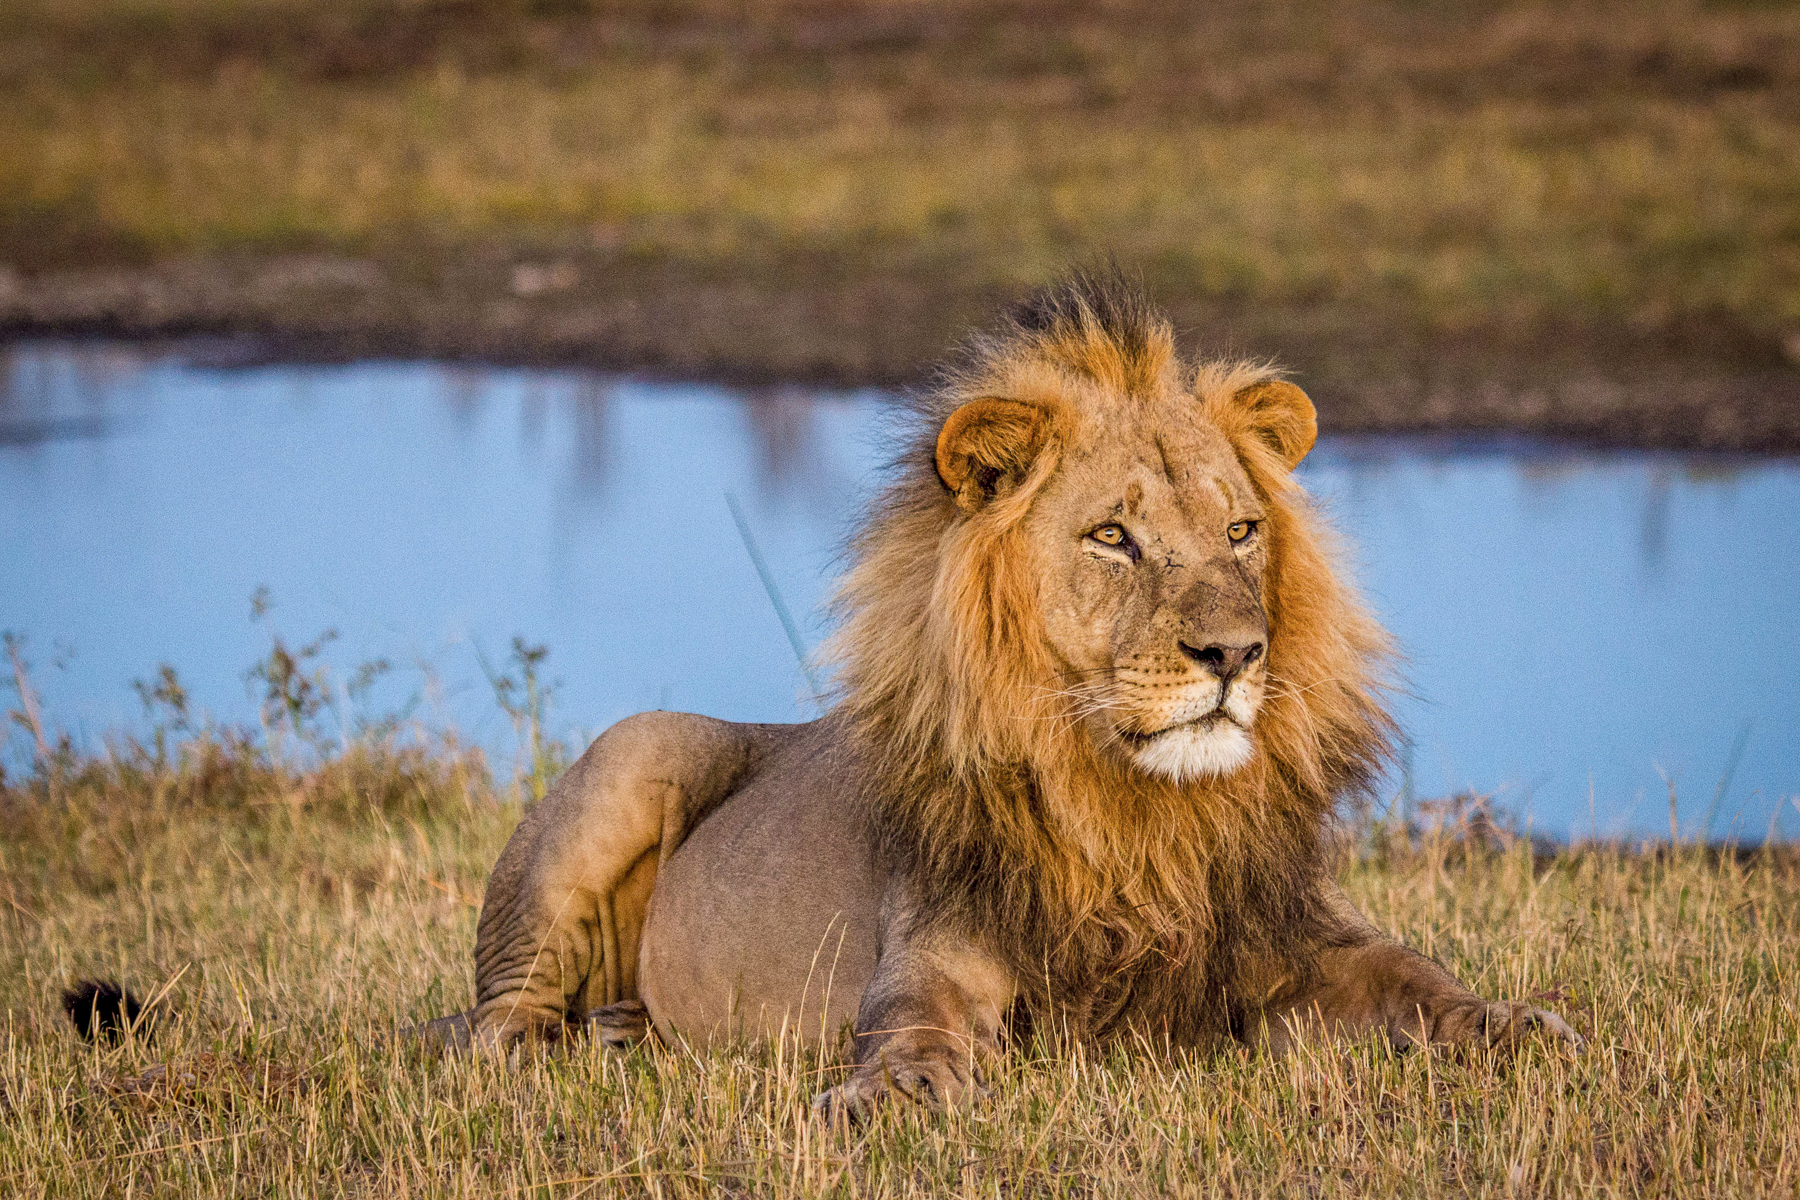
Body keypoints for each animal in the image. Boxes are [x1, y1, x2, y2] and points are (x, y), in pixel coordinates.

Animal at [419, 270, 1579, 1111]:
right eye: (1113, 537)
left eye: (1242, 530)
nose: (1237, 653)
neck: (1136, 813)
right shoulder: (938, 952)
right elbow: (915, 1028)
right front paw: (889, 1098)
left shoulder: (1300, 936)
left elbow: (1419, 981)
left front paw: (1523, 1028)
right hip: (630, 755)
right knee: (493, 1023)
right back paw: (564, 1048)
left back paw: (623, 1031)